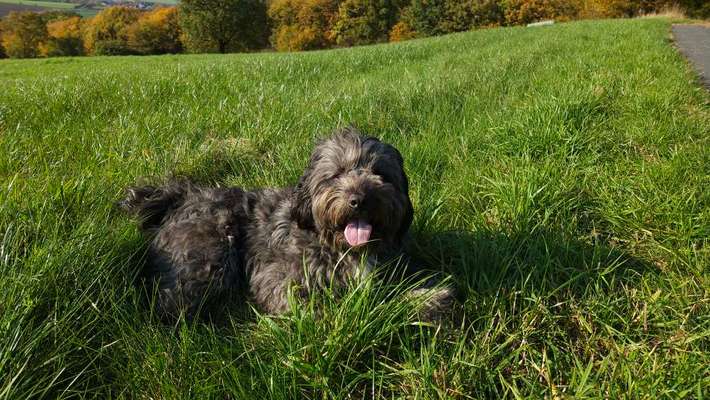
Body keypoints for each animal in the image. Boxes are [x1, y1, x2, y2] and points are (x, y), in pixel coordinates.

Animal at [119, 128, 454, 322]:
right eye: (336, 174)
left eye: (380, 174)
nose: (359, 199)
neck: (336, 245)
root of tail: (182, 196)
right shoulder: (279, 278)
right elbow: (324, 308)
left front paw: (429, 298)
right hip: (208, 258)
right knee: (167, 302)